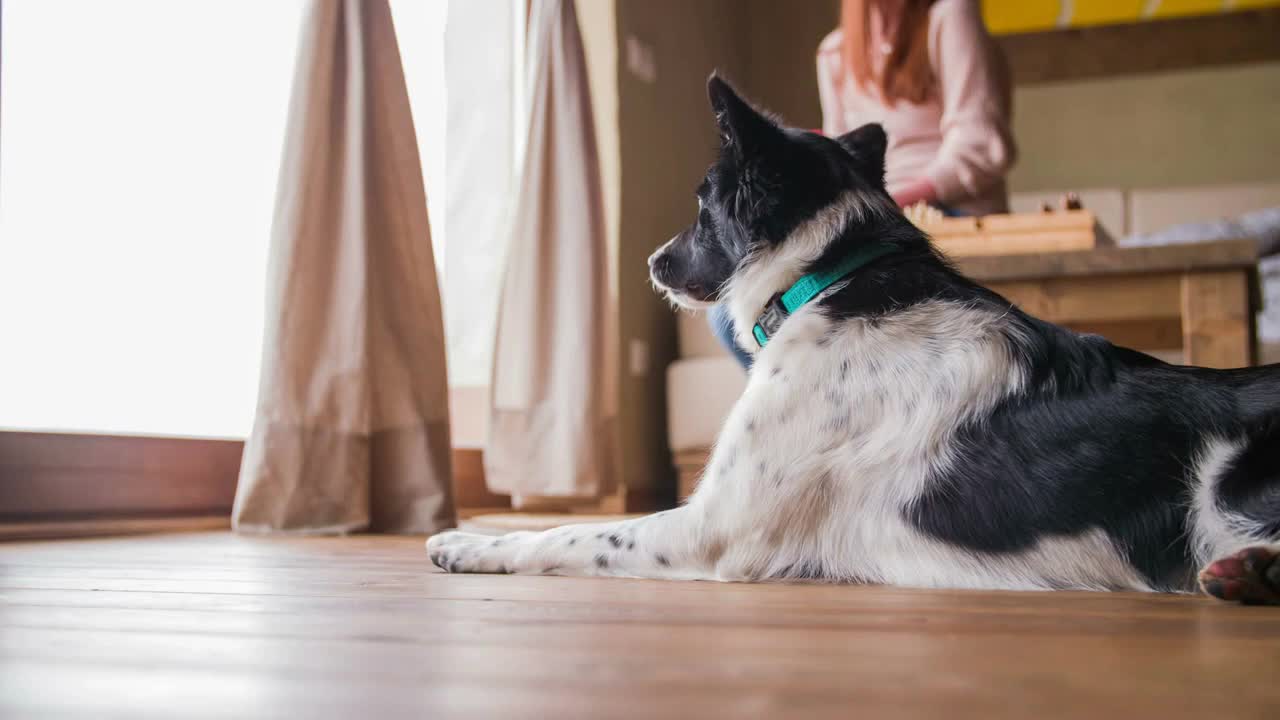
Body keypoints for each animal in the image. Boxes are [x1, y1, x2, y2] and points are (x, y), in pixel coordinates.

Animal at [432, 74, 1280, 599]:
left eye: (702, 207)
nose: (651, 261)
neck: (829, 277)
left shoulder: (711, 528)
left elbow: (566, 532)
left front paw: (467, 542)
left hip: (1221, 481)